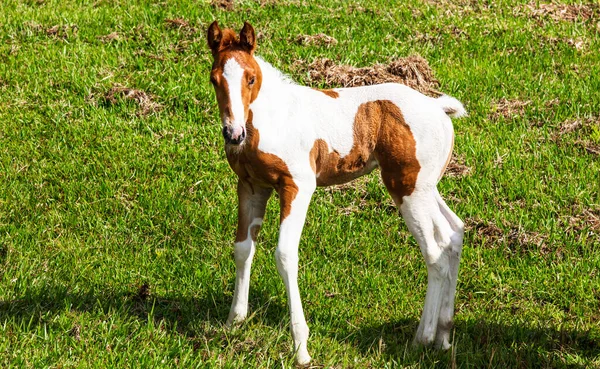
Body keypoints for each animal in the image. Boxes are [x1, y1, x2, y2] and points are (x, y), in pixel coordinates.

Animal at [209, 21, 466, 364]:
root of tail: (438, 108)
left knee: (435, 256)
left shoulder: (298, 186)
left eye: (251, 77)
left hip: (408, 191)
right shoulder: (252, 187)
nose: (233, 133)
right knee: (454, 234)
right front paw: (233, 323)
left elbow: (285, 254)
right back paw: (443, 337)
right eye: (215, 79)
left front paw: (301, 348)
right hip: (424, 189)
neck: (273, 118)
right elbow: (242, 249)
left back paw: (420, 339)